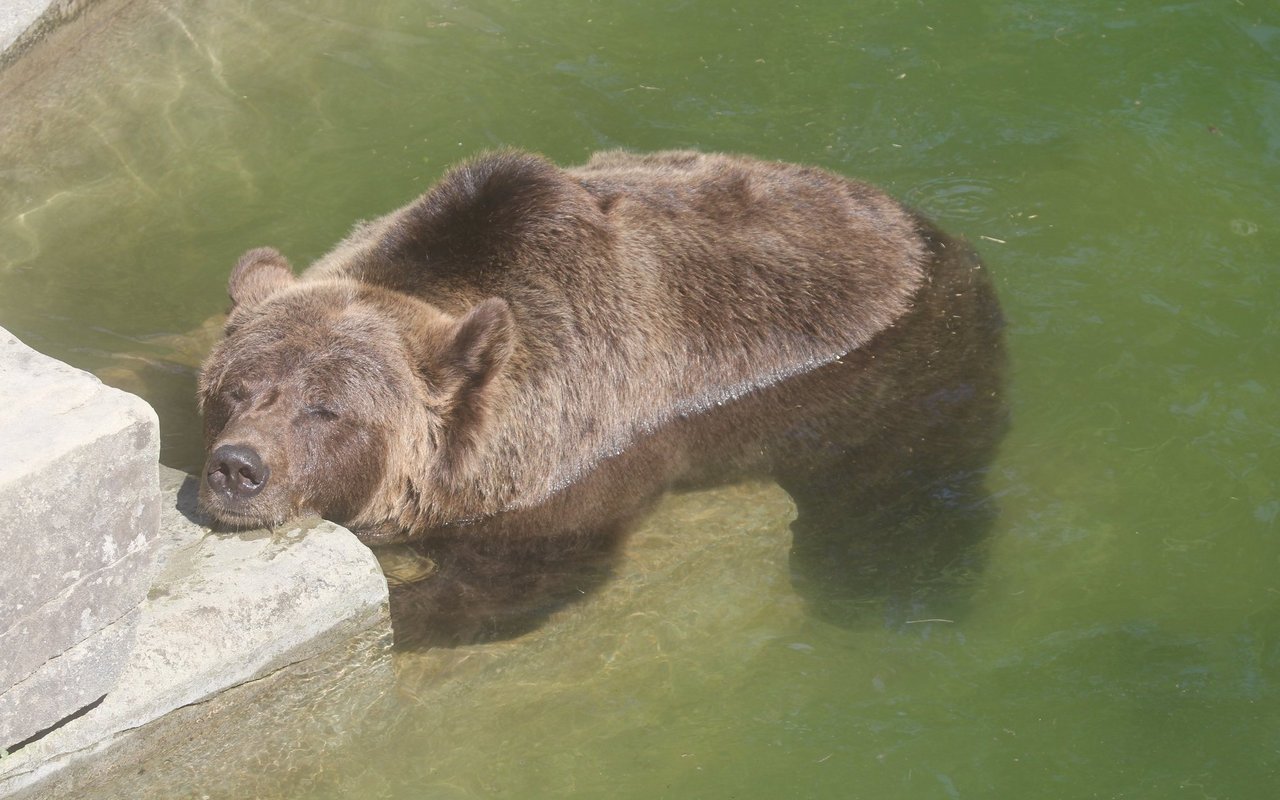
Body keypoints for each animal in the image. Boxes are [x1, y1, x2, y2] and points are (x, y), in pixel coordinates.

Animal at [199, 146, 1003, 640]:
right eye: (234, 390)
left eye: (327, 410)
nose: (238, 468)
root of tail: (925, 226)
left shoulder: (568, 464)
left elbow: (519, 580)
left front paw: (403, 606)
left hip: (907, 377)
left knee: (900, 494)